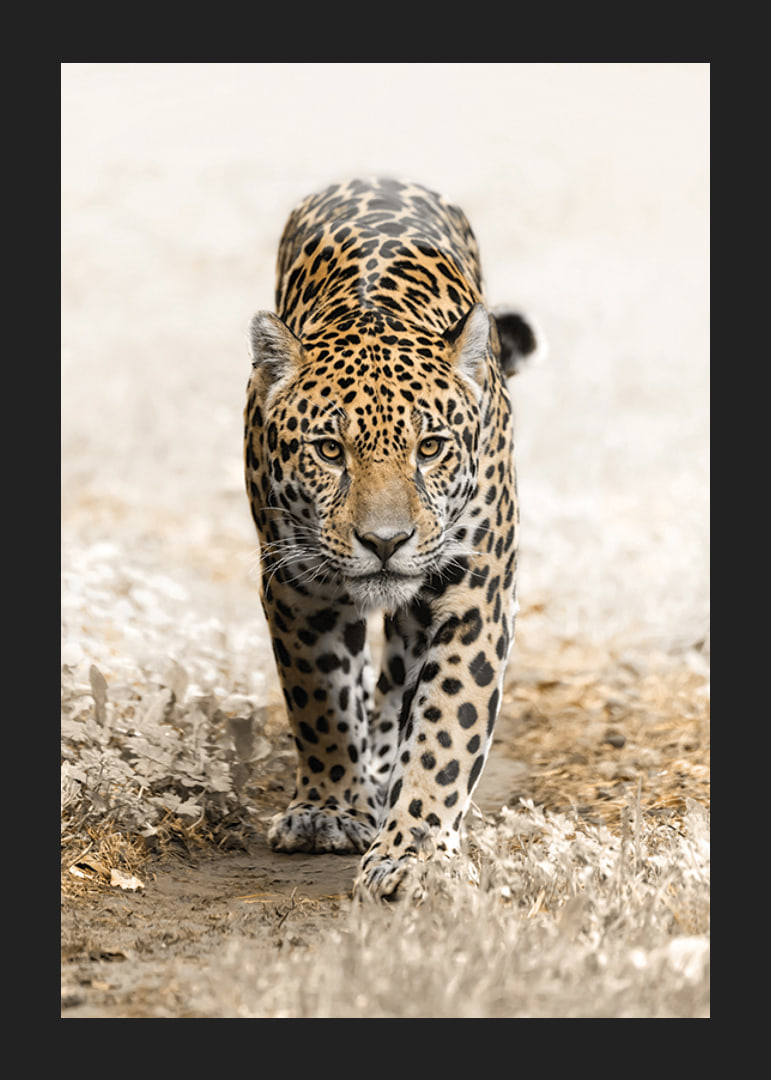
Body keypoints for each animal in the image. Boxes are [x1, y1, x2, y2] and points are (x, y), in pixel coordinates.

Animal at [244, 177, 541, 901]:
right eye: (328, 450)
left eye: (429, 448)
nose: (385, 542)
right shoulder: (297, 588)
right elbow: (319, 700)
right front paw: (327, 810)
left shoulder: (474, 596)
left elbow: (445, 729)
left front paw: (415, 852)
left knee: (400, 679)